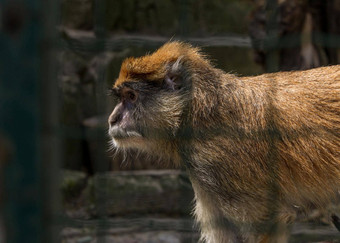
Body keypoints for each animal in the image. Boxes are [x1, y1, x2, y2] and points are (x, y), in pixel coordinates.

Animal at [108, 40, 340, 242]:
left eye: (131, 96)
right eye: (123, 97)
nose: (112, 119)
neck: (196, 111)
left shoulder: (220, 159)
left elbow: (266, 225)